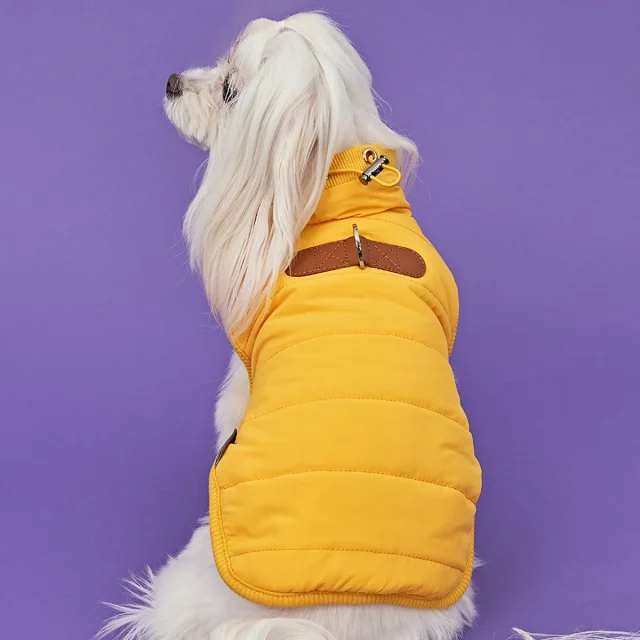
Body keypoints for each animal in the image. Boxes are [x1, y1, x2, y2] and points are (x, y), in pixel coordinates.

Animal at [100, 12, 638, 640]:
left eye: (231, 89)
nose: (171, 81)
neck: (344, 190)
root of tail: (335, 617)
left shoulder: (241, 381)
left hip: (199, 559)